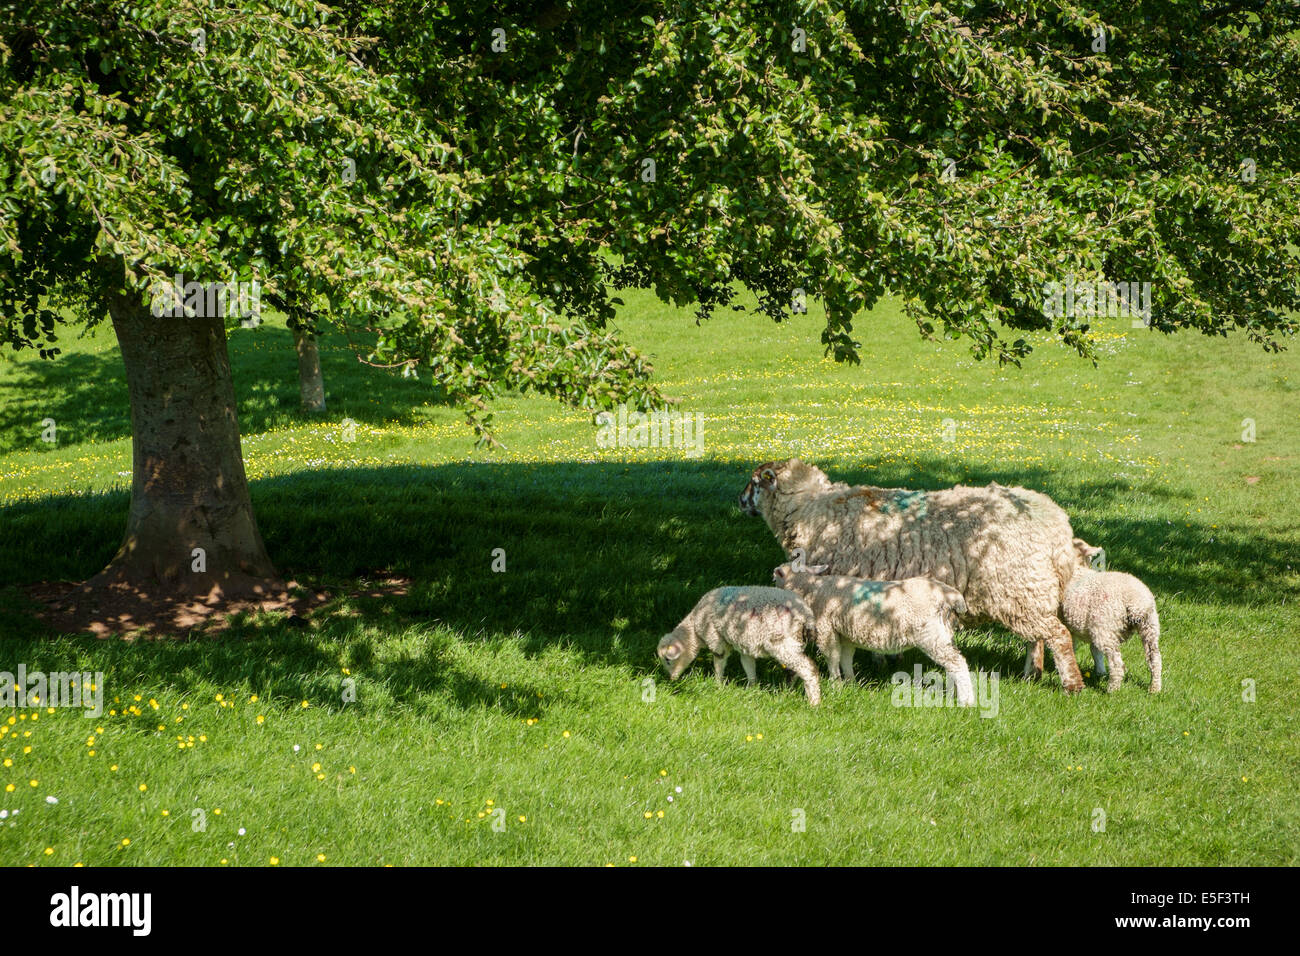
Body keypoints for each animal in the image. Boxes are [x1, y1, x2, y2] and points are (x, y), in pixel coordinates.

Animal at [660, 587, 821, 707]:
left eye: (668, 659)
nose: (671, 679)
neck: (693, 630)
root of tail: (806, 615)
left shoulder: (716, 639)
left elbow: (719, 664)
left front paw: (718, 685)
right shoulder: (745, 644)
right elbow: (748, 666)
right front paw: (751, 689)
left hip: (782, 643)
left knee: (808, 668)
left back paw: (814, 703)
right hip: (794, 643)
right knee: (793, 670)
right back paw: (786, 692)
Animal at [743, 460, 1086, 691]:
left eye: (755, 482)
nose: (739, 500)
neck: (807, 508)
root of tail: (1057, 523)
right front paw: (883, 661)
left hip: (1019, 588)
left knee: (1057, 635)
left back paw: (1072, 684)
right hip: (1030, 591)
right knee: (1037, 638)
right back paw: (1032, 674)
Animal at [769, 564, 977, 707]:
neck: (809, 587)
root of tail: (950, 596)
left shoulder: (826, 629)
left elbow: (832, 658)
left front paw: (837, 685)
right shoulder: (845, 635)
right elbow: (846, 658)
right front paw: (851, 683)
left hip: (930, 635)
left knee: (957, 663)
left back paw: (967, 702)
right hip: (944, 632)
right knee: (951, 664)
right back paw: (953, 693)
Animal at [1024, 541, 1170, 691]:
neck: (1076, 568)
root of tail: (1136, 601)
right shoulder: (1084, 625)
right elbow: (1092, 650)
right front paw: (1099, 672)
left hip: (1106, 626)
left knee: (1117, 663)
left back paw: (1112, 689)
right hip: (1149, 626)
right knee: (1155, 659)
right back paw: (1154, 688)